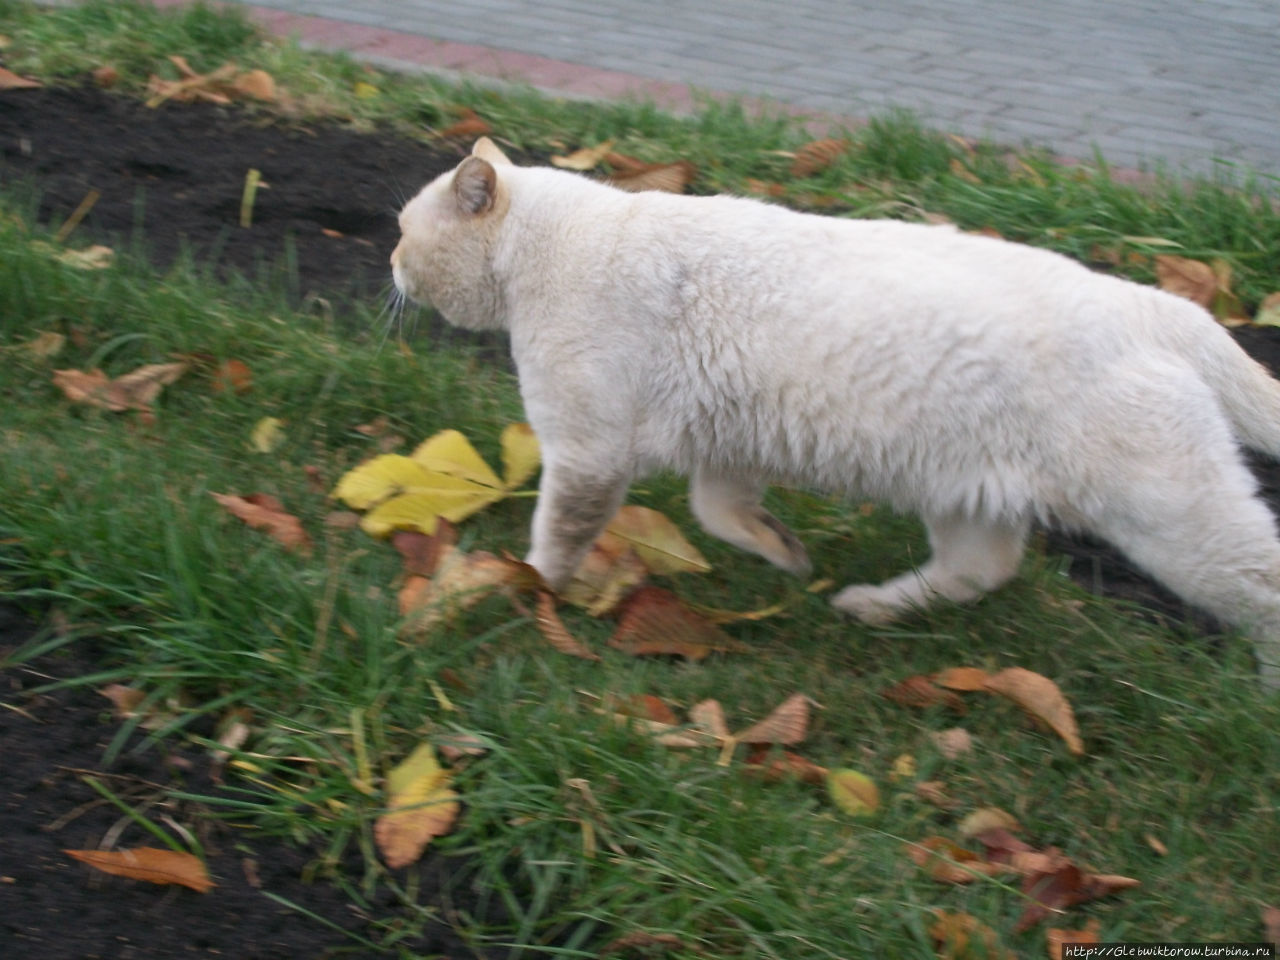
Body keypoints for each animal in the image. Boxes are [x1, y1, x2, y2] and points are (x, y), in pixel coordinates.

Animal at [389, 138, 1280, 686]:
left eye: (401, 231)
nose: (390, 263)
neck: (548, 247)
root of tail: (1157, 307)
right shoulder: (727, 440)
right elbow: (721, 513)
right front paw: (785, 555)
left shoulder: (588, 450)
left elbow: (555, 544)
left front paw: (525, 593)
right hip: (961, 490)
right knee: (981, 568)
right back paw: (870, 606)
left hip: (1174, 519)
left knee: (1263, 586)